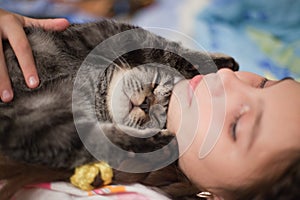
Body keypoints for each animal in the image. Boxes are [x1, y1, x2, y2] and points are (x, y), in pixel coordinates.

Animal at [0, 19, 239, 171]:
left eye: (160, 116)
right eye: (155, 84)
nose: (146, 104)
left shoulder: (47, 128)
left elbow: (102, 143)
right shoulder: (121, 34)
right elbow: (174, 52)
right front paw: (223, 63)